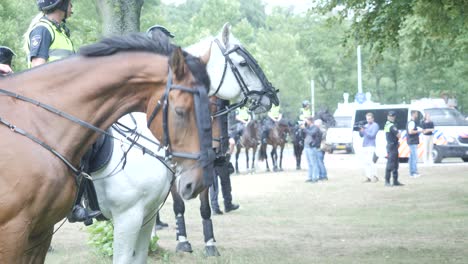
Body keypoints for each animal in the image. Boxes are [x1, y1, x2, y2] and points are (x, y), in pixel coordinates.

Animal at [89, 23, 276, 264]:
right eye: (243, 63)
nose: (271, 96)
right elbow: (178, 205)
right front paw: (183, 241)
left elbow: (205, 207)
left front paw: (210, 243)